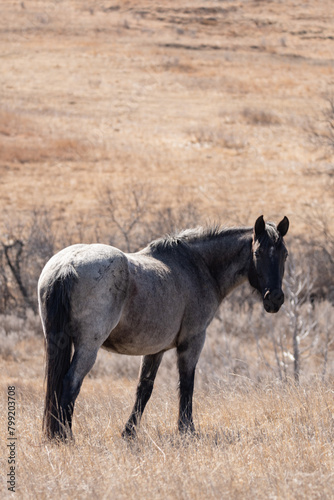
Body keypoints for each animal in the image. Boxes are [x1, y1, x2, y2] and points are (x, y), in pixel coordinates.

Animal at [38, 213, 290, 440]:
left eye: (285, 254)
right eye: (257, 253)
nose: (275, 298)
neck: (197, 266)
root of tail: (67, 265)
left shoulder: (154, 350)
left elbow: (144, 389)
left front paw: (129, 433)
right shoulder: (193, 341)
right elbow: (187, 385)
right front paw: (187, 431)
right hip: (88, 347)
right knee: (70, 383)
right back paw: (66, 436)